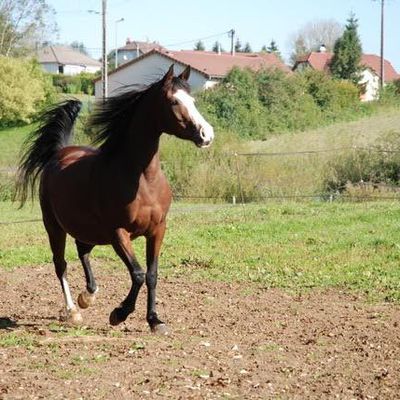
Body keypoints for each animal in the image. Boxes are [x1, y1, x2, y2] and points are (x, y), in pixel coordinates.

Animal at [16, 66, 214, 334]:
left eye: (192, 100)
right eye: (174, 101)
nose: (207, 135)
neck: (142, 179)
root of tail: (59, 153)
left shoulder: (158, 230)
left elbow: (152, 274)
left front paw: (155, 321)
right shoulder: (118, 233)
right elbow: (138, 274)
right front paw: (119, 314)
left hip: (88, 231)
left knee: (83, 251)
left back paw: (88, 296)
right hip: (54, 227)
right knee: (61, 264)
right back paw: (73, 311)